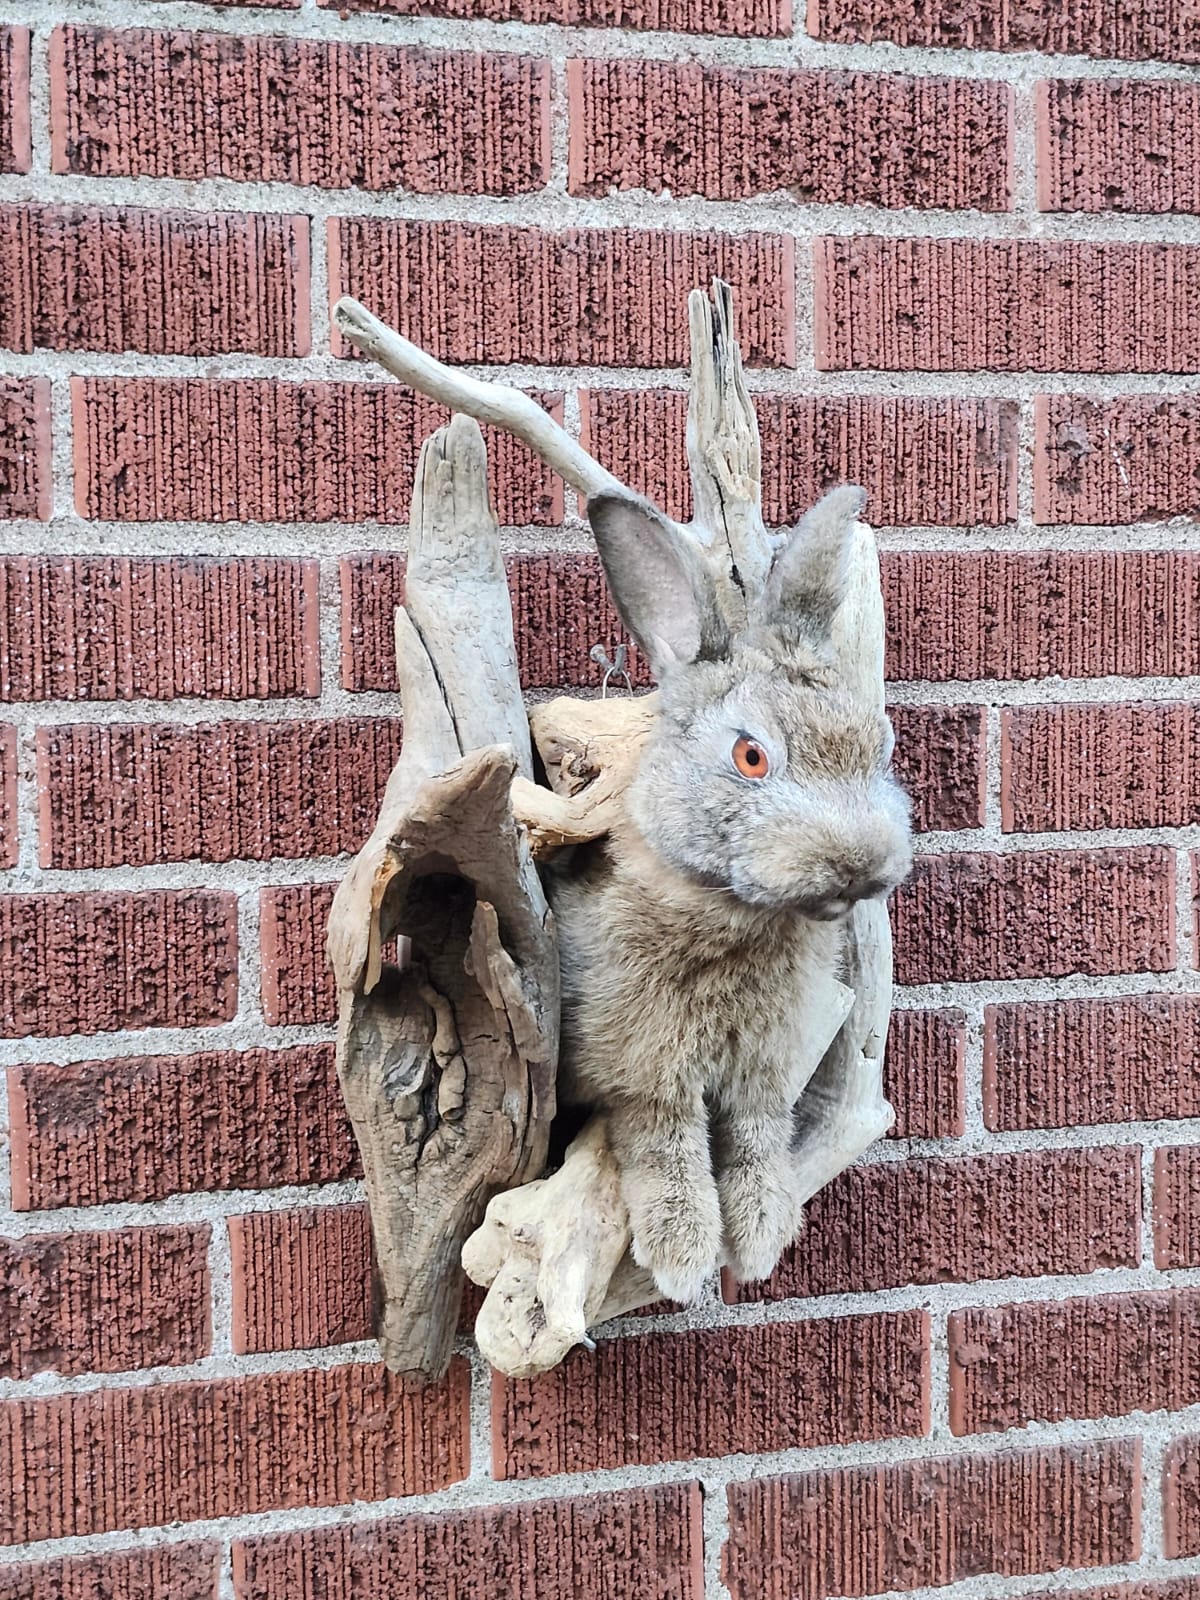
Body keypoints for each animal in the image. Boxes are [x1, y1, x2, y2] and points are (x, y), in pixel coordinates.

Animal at [546, 483, 913, 1305]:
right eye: (751, 757)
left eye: (880, 746)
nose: (859, 866)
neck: (733, 913)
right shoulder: (640, 1061)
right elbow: (665, 1143)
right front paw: (682, 1257)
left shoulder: (766, 1064)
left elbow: (755, 1135)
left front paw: (762, 1237)